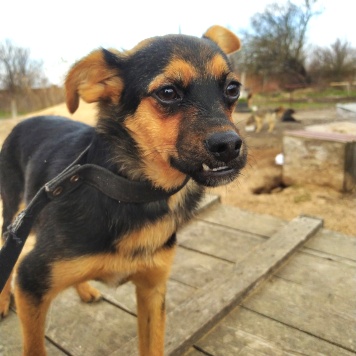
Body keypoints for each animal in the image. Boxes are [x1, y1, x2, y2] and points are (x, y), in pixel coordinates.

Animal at [0, 25, 248, 356]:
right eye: (167, 92)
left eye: (233, 88)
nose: (230, 146)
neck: (130, 190)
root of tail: (25, 120)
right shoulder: (30, 281)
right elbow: (34, 346)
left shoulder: (153, 290)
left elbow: (152, 344)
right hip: (14, 211)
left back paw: (85, 289)